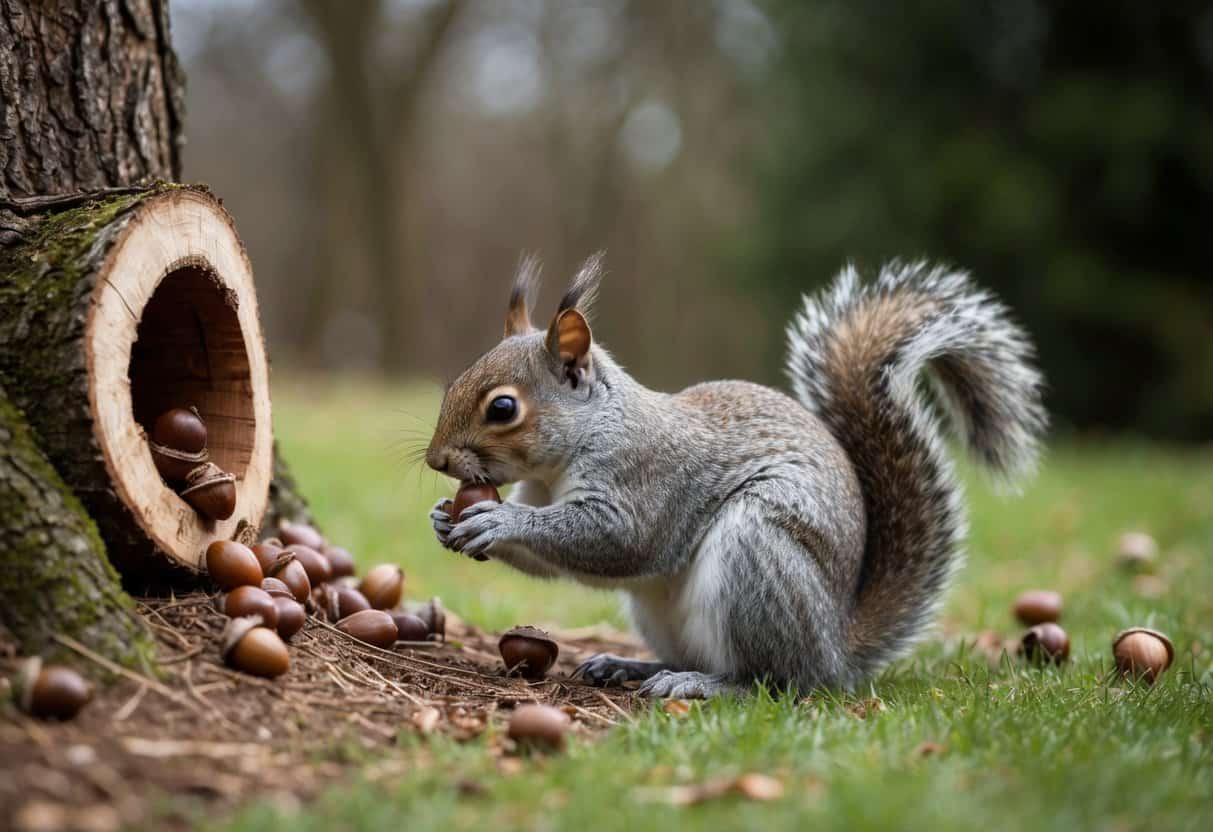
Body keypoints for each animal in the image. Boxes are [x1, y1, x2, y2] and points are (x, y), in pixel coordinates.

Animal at [426, 255, 1046, 698]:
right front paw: (444, 519)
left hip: (758, 553)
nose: (436, 462)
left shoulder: (646, 478)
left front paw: (501, 520)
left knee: (777, 681)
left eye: (503, 408)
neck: (575, 448)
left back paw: (706, 685)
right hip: (661, 612)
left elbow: (619, 540)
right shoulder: (542, 488)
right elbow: (548, 562)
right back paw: (630, 665)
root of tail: (836, 648)